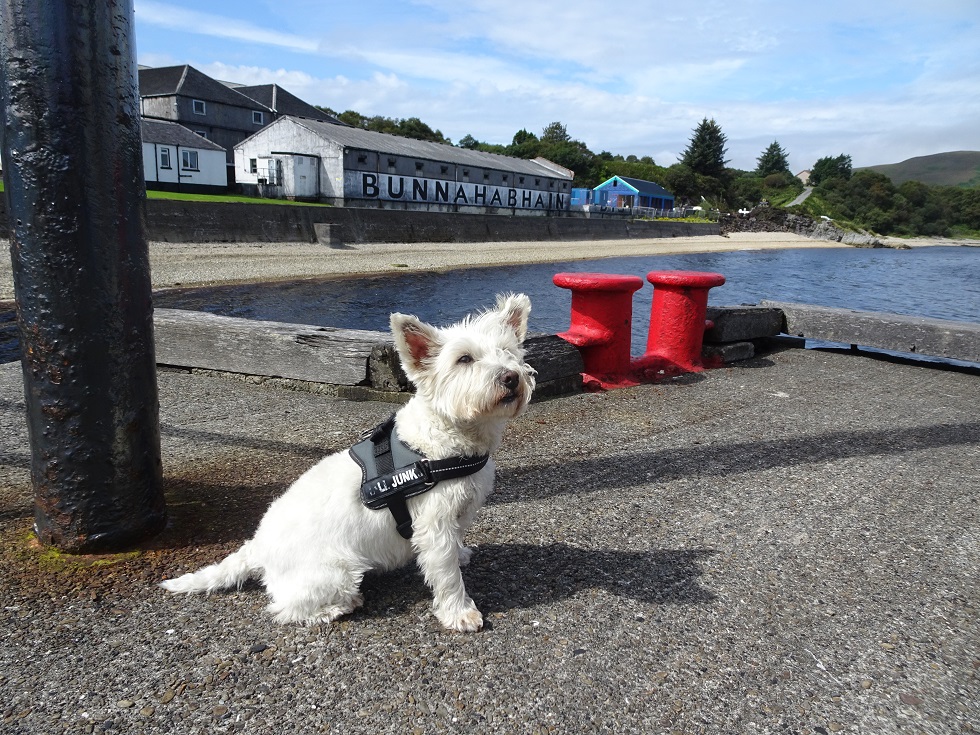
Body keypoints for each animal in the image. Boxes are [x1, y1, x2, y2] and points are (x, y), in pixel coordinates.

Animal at [161, 294, 536, 632]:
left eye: (508, 351)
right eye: (464, 359)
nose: (511, 377)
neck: (446, 440)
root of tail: (258, 546)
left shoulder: (458, 511)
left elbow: (454, 548)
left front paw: (461, 556)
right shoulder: (434, 523)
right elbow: (446, 575)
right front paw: (460, 613)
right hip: (336, 572)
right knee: (287, 607)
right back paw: (339, 606)